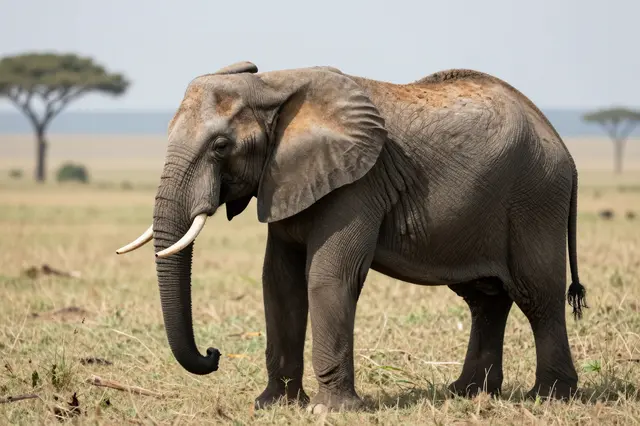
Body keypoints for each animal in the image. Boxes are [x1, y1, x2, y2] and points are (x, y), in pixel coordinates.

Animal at [116, 61, 588, 412]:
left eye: (219, 146)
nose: (213, 355)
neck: (273, 86)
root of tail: (563, 146)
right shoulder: (286, 178)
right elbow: (279, 281)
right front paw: (273, 405)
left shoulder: (357, 182)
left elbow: (328, 276)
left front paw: (328, 411)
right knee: (485, 298)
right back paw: (467, 393)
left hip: (535, 198)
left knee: (538, 295)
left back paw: (549, 398)